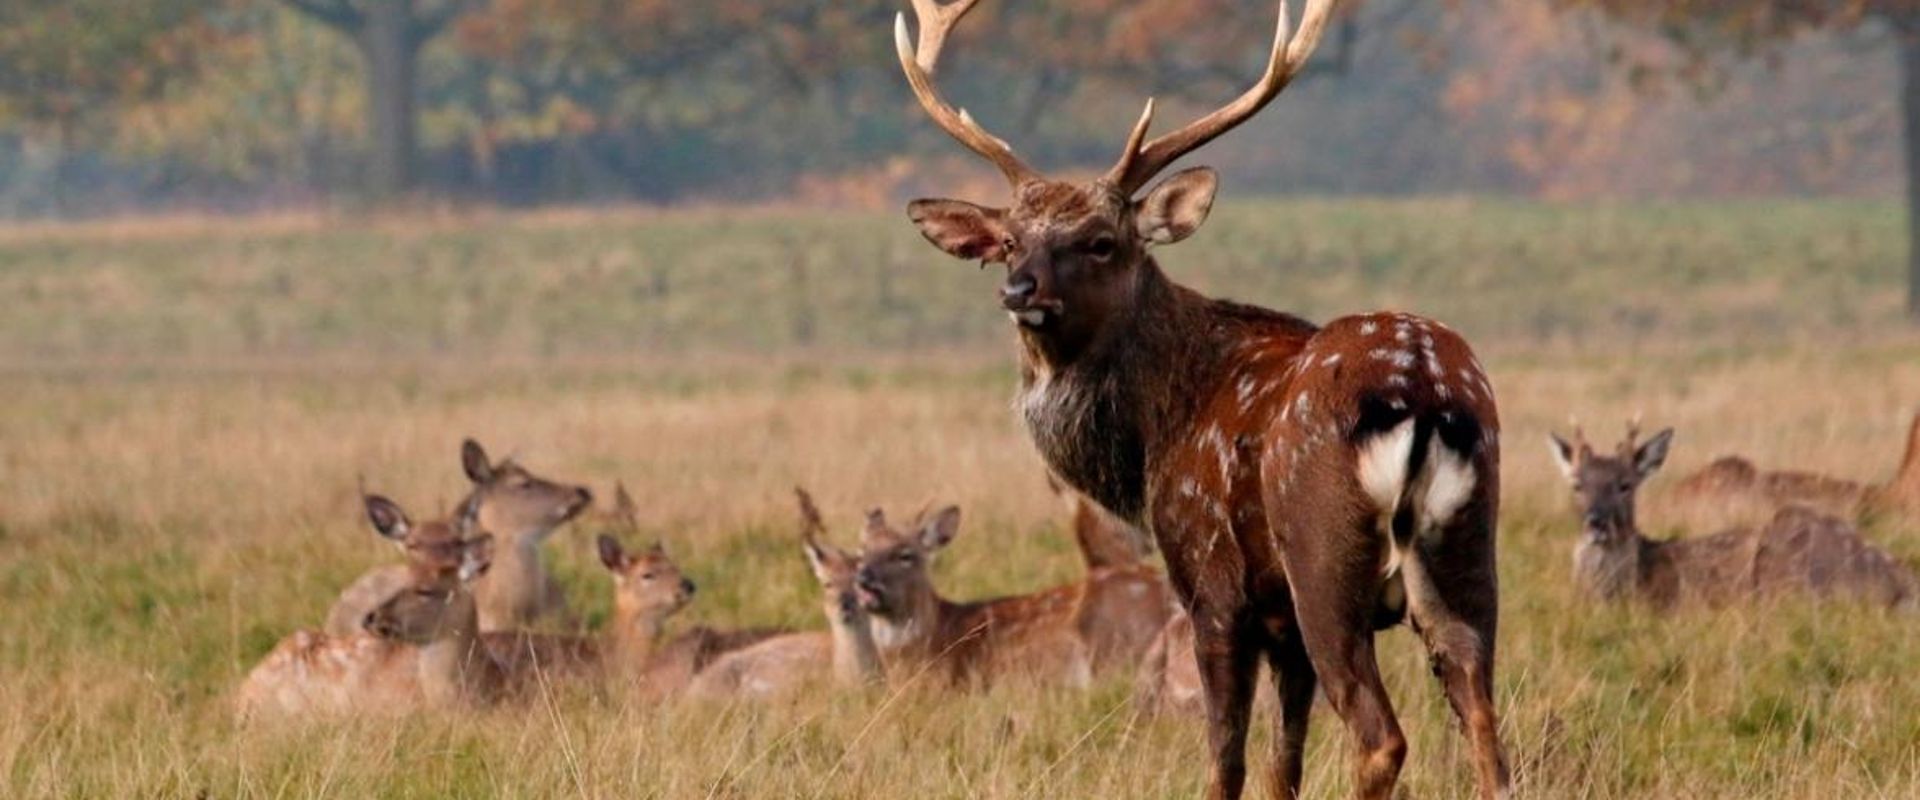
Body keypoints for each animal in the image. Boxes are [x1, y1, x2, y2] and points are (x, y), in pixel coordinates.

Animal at [891, 0, 1509, 797]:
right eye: (1007, 241)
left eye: (1100, 241)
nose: (1018, 290)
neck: (1153, 433)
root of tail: (1425, 395)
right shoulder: (1280, 627)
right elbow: (1283, 764)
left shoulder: (1212, 583)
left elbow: (1227, 759)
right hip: (1468, 554)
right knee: (1485, 725)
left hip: (1324, 560)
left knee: (1381, 738)